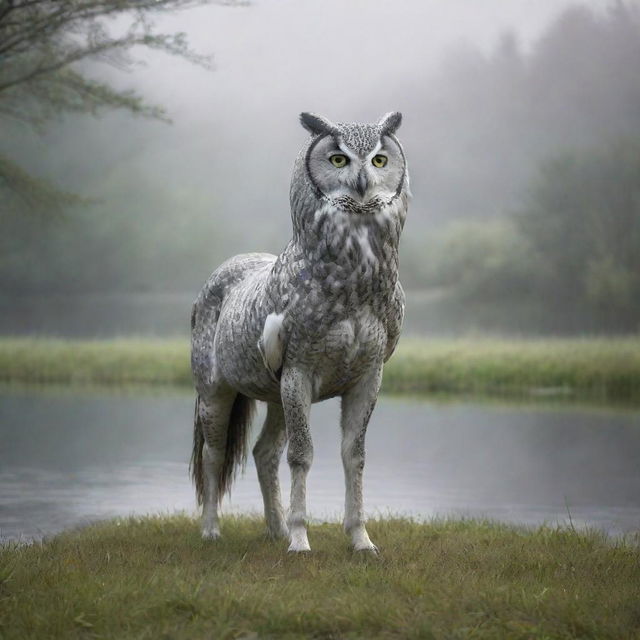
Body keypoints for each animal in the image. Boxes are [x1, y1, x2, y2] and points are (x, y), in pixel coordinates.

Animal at [191, 112, 410, 552]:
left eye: (379, 160)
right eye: (339, 159)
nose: (362, 183)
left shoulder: (369, 376)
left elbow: (354, 454)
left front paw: (361, 540)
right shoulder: (299, 373)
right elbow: (302, 455)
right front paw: (300, 541)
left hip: (275, 395)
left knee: (263, 452)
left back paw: (274, 529)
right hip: (215, 390)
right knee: (215, 454)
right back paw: (212, 530)